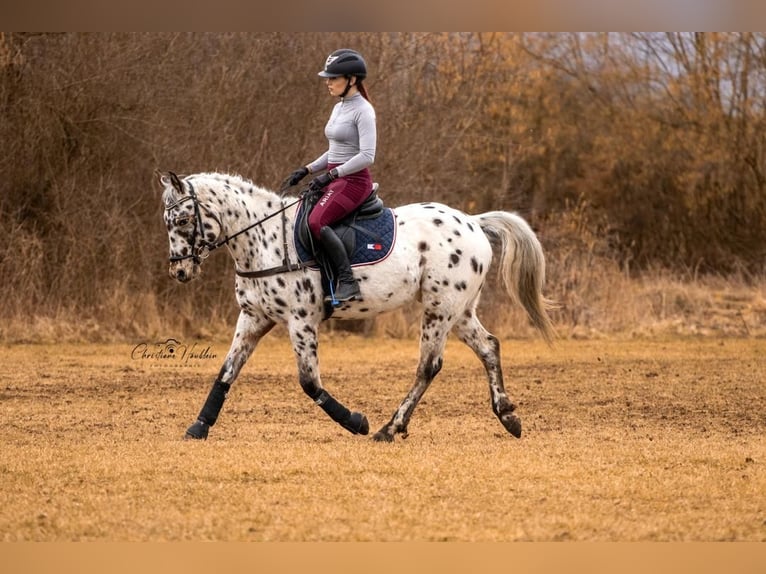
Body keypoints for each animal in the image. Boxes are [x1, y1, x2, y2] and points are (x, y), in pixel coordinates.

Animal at [158, 170, 555, 442]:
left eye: (183, 220)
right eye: (168, 222)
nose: (179, 271)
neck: (265, 240)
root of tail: (472, 222)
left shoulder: (300, 321)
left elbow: (309, 383)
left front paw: (356, 422)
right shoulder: (253, 318)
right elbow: (227, 371)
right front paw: (199, 426)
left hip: (439, 310)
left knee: (428, 366)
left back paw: (389, 428)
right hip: (460, 311)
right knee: (489, 347)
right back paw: (507, 416)